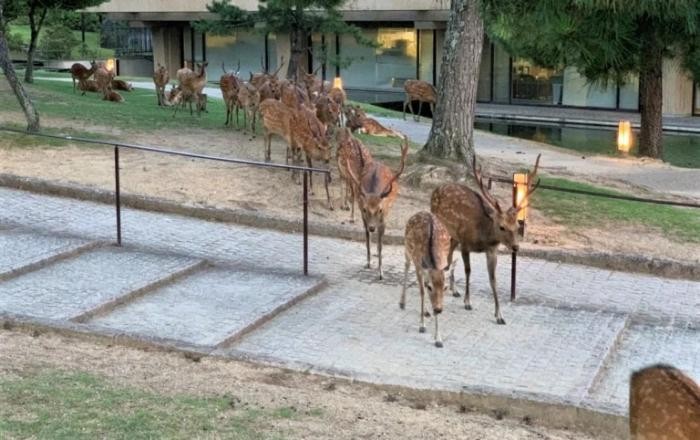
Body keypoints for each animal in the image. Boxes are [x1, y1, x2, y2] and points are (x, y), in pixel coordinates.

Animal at [346, 138, 410, 278]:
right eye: (365, 209)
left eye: (380, 209)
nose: (372, 227)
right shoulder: (363, 216)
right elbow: (367, 239)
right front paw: (368, 262)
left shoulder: (384, 217)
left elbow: (381, 244)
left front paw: (381, 272)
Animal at [400, 211, 454, 348]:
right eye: (431, 287)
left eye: (445, 287)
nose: (439, 309)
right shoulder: (418, 266)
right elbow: (422, 293)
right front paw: (422, 326)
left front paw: (438, 339)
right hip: (407, 248)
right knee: (406, 266)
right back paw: (402, 302)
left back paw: (426, 311)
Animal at [426, 154, 540, 324]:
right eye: (501, 227)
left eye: (517, 225)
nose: (516, 247)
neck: (482, 237)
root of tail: (436, 189)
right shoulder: (465, 243)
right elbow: (468, 271)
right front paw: (468, 302)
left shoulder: (491, 250)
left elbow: (493, 279)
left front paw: (499, 315)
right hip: (442, 226)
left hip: (454, 236)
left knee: (449, 255)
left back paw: (454, 289)